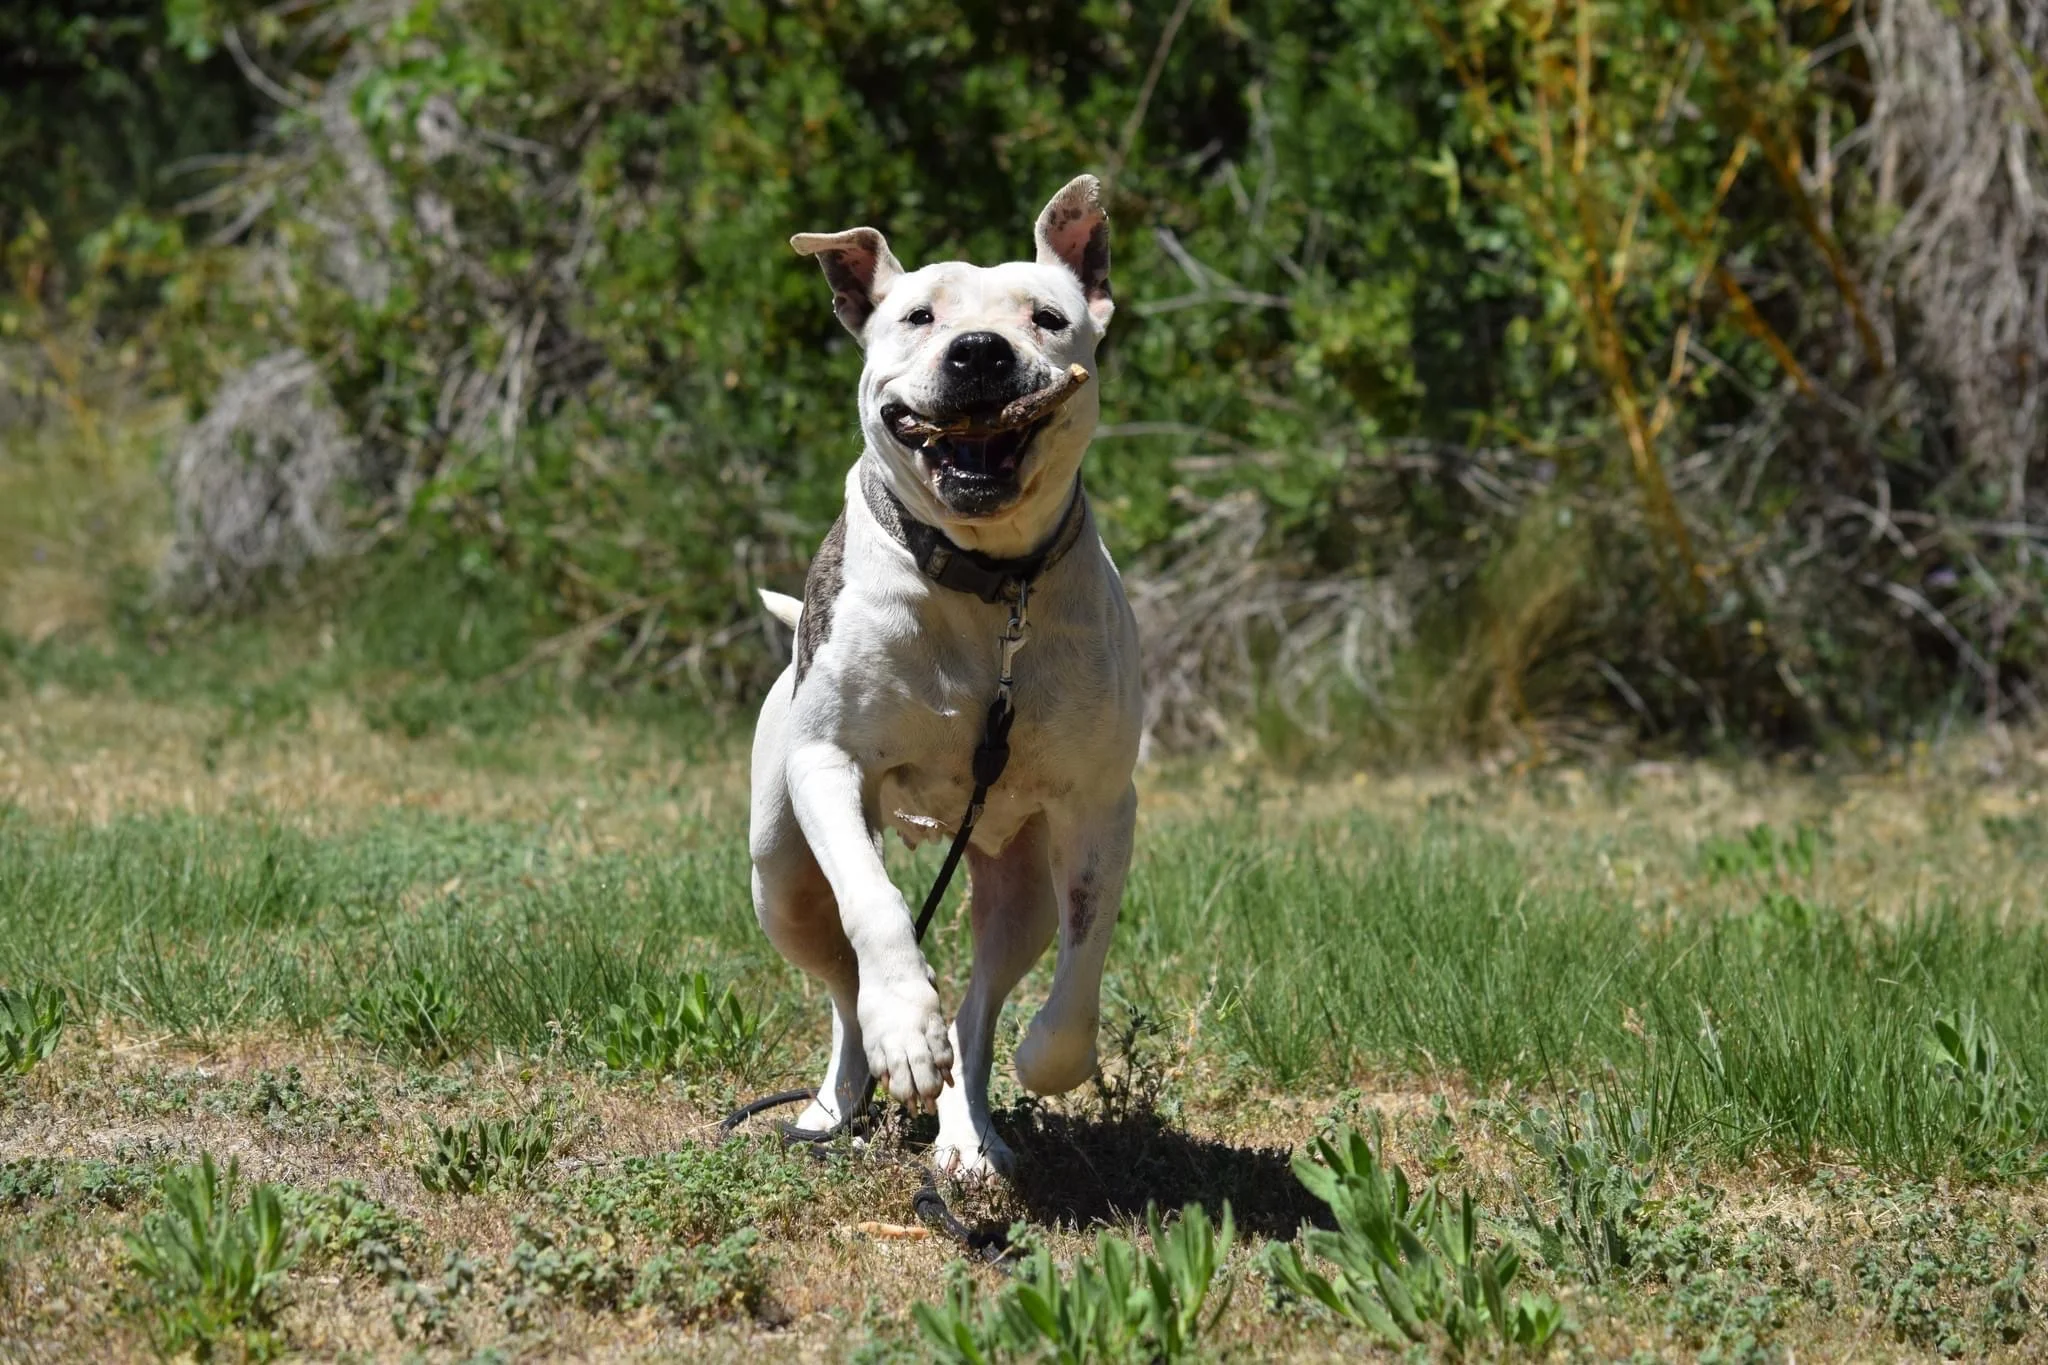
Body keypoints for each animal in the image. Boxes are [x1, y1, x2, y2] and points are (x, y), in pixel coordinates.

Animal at [753, 175, 1146, 1178]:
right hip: (780, 873)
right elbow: (877, 904)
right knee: (842, 985)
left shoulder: (1099, 801)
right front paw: (904, 1022)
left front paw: (1049, 1061)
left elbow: (1087, 951)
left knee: (979, 1006)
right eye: (918, 314)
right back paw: (842, 1094)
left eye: (1047, 316)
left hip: (1016, 886)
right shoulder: (827, 765)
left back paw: (969, 1133)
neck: (987, 578)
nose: (978, 352)